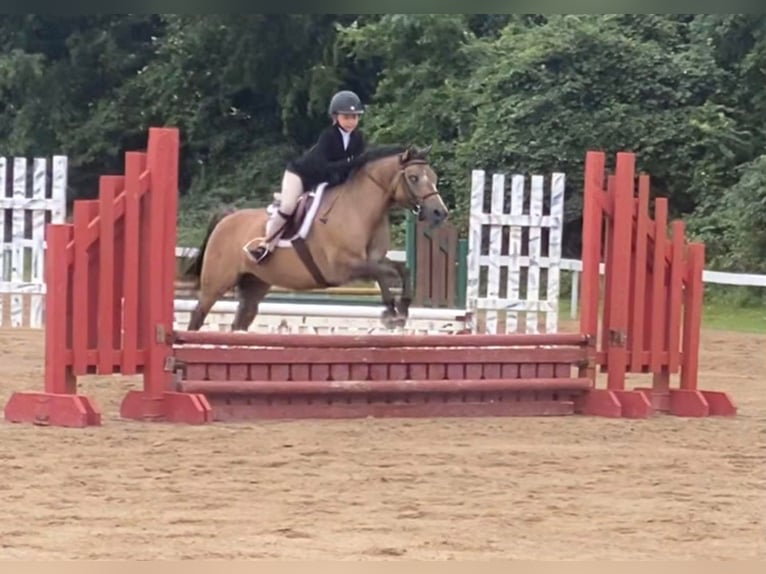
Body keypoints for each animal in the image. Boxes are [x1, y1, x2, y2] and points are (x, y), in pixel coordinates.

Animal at [183, 143, 450, 332]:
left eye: (433, 176)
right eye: (413, 178)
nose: (440, 212)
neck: (361, 209)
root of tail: (226, 219)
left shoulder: (372, 259)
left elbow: (399, 270)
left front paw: (399, 310)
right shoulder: (344, 266)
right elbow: (382, 273)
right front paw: (392, 312)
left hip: (254, 285)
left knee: (240, 321)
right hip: (216, 284)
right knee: (197, 316)